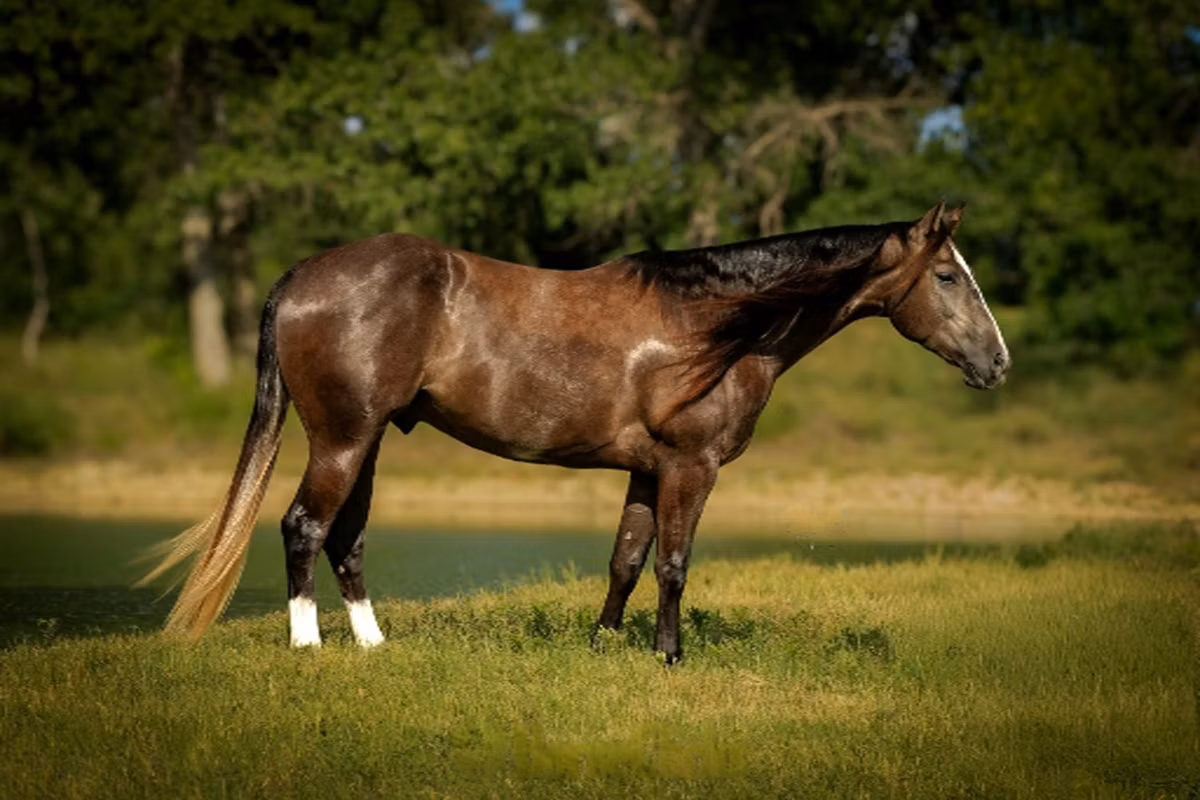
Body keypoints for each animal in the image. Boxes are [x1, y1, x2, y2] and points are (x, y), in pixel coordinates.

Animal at [140, 201, 1009, 663]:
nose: (998, 362)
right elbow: (673, 565)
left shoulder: (647, 471)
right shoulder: (691, 468)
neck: (716, 327)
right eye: (947, 276)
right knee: (303, 526)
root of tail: (301, 277)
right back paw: (309, 648)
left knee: (346, 537)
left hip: (369, 439)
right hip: (343, 439)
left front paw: (602, 648)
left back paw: (374, 645)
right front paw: (669, 656)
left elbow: (626, 560)